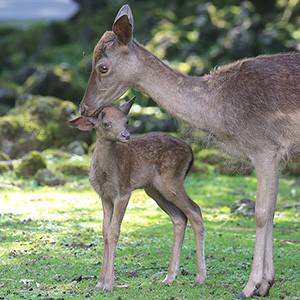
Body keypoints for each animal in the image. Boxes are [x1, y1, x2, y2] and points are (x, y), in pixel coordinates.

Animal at [68, 98, 206, 290]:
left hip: (171, 182)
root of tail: (191, 151)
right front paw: (99, 283)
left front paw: (109, 284)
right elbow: (104, 232)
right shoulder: (104, 196)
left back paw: (200, 277)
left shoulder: (123, 192)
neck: (106, 174)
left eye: (126, 121)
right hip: (154, 189)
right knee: (179, 217)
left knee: (195, 211)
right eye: (106, 123)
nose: (126, 135)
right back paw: (169, 277)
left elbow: (114, 232)